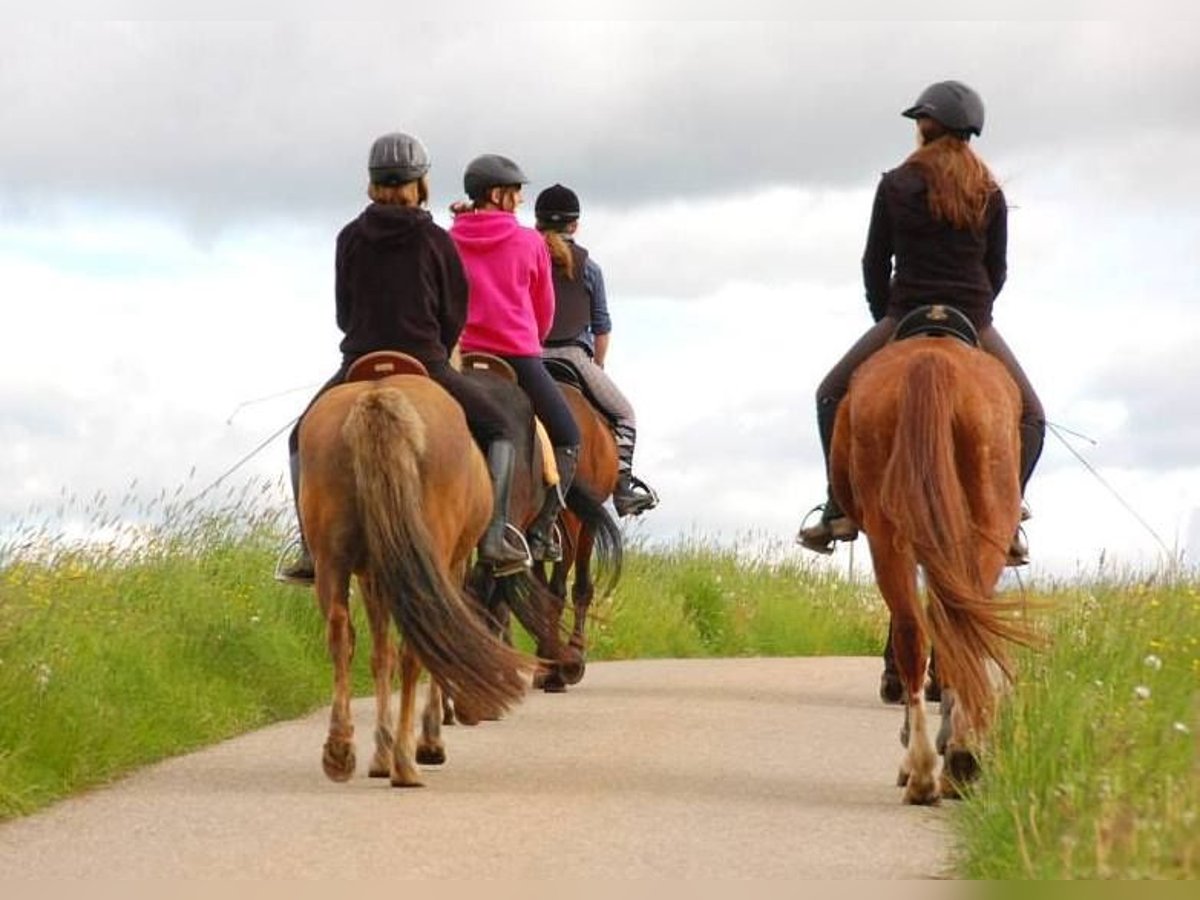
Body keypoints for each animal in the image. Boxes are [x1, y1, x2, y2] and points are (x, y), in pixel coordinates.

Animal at [297, 367, 537, 787]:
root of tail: (378, 397)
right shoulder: (449, 568)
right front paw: (427, 743)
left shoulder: (374, 575)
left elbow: (381, 655)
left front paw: (379, 755)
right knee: (416, 647)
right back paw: (407, 764)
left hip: (331, 559)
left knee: (341, 634)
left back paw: (340, 751)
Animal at [835, 321, 1032, 801]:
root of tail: (933, 360)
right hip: (983, 523)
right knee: (947, 625)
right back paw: (952, 759)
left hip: (892, 533)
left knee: (917, 627)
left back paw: (928, 766)